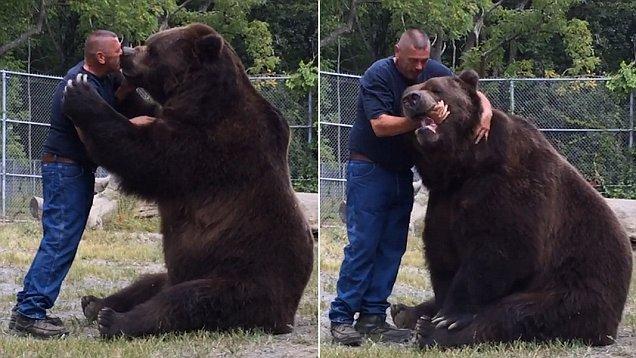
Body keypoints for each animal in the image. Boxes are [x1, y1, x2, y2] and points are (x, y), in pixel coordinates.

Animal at [60, 23, 314, 338]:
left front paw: (81, 94)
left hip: (245, 277)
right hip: (183, 273)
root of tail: (288, 313)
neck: (201, 101)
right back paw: (96, 303)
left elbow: (145, 155)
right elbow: (145, 114)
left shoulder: (210, 146)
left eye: (153, 49)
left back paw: (115, 320)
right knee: (149, 282)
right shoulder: (177, 118)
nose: (126, 53)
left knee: (190, 300)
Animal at [390, 69, 632, 346]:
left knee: (516, 314)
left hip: (576, 286)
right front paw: (437, 309)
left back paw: (430, 331)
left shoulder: (511, 183)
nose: (411, 99)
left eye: (435, 87)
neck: (464, 165)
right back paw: (405, 311)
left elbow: (502, 248)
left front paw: (448, 317)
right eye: (407, 92)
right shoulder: (445, 199)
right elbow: (442, 251)